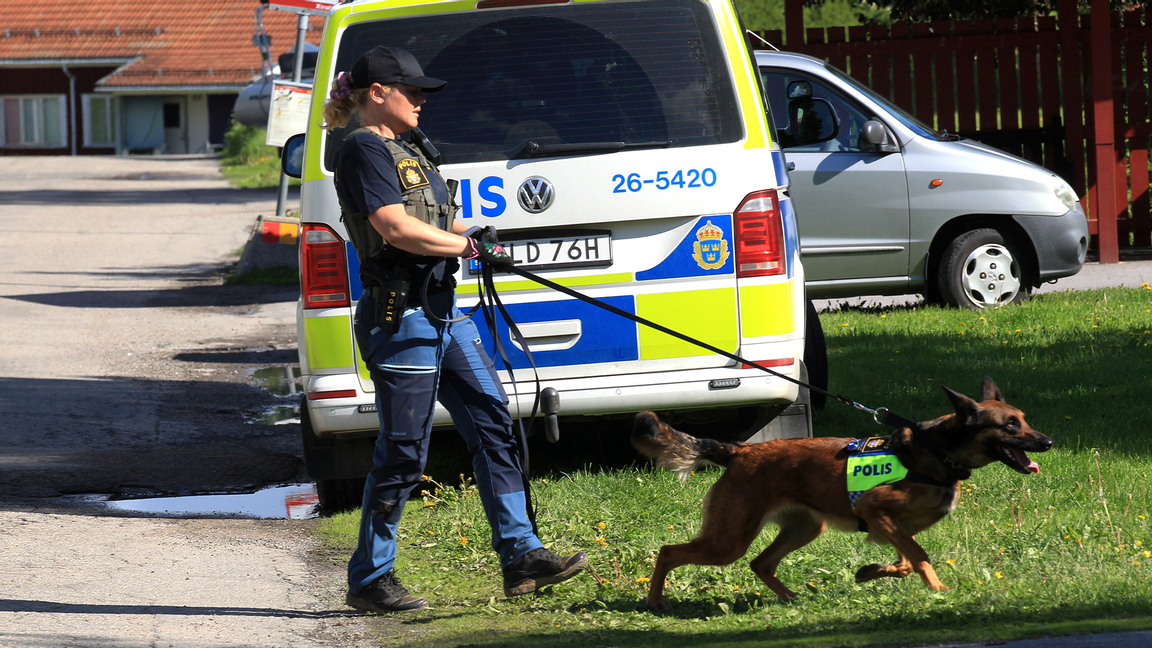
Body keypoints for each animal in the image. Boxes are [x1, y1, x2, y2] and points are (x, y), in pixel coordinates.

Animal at [631, 375, 1055, 608]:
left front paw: (871, 572)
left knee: (761, 563)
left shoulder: (895, 527)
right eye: (1010, 425)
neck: (936, 450)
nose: (1048, 442)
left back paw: (791, 599)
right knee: (669, 552)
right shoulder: (877, 509)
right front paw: (938, 589)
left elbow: (906, 560)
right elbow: (919, 556)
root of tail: (739, 450)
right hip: (729, 540)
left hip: (803, 529)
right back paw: (655, 601)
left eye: (1025, 420)